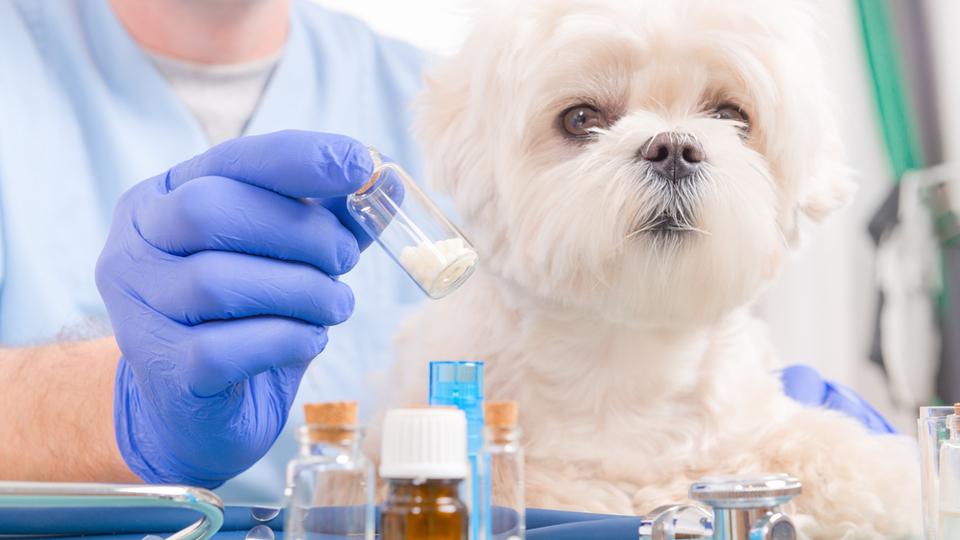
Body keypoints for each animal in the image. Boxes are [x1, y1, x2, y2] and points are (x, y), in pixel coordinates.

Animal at [380, 0, 924, 536]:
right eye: (580, 118)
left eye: (731, 115)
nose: (675, 149)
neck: (628, 355)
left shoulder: (758, 424)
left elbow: (834, 456)